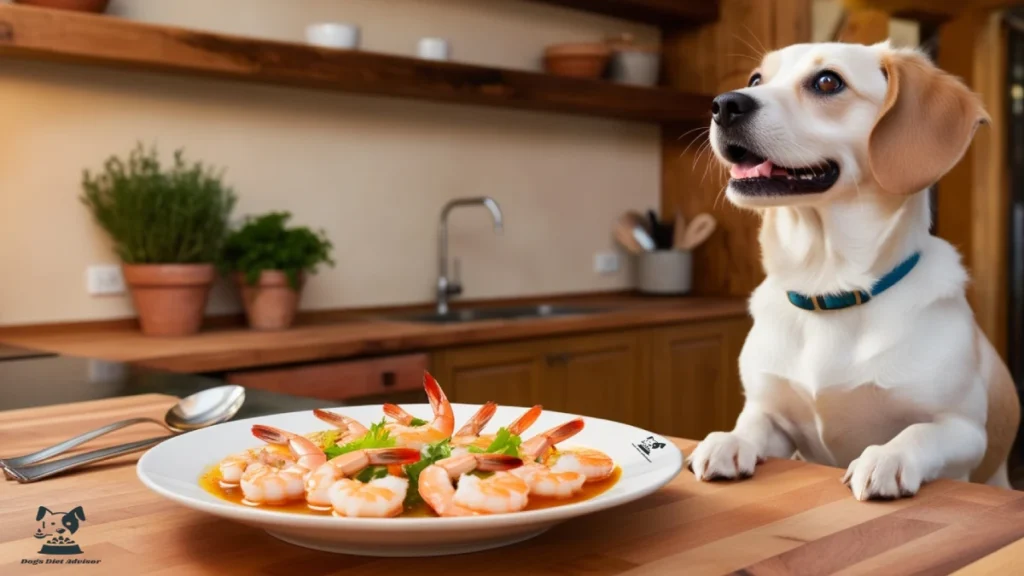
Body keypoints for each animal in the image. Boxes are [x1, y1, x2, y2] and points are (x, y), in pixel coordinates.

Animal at [692, 40, 1019, 498]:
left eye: (828, 81)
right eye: (756, 79)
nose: (724, 104)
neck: (828, 289)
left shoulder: (965, 430)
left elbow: (918, 432)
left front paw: (887, 456)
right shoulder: (773, 414)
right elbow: (751, 424)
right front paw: (729, 440)